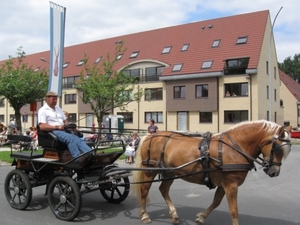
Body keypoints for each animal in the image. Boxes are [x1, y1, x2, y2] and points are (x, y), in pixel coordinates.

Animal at [132, 120, 290, 225]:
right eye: (277, 148)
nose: (275, 172)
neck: (233, 147)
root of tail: (151, 135)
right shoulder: (231, 185)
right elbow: (234, 210)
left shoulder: (224, 184)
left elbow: (216, 202)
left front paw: (201, 217)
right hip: (150, 170)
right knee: (144, 190)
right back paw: (144, 215)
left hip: (170, 172)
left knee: (163, 189)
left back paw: (174, 214)